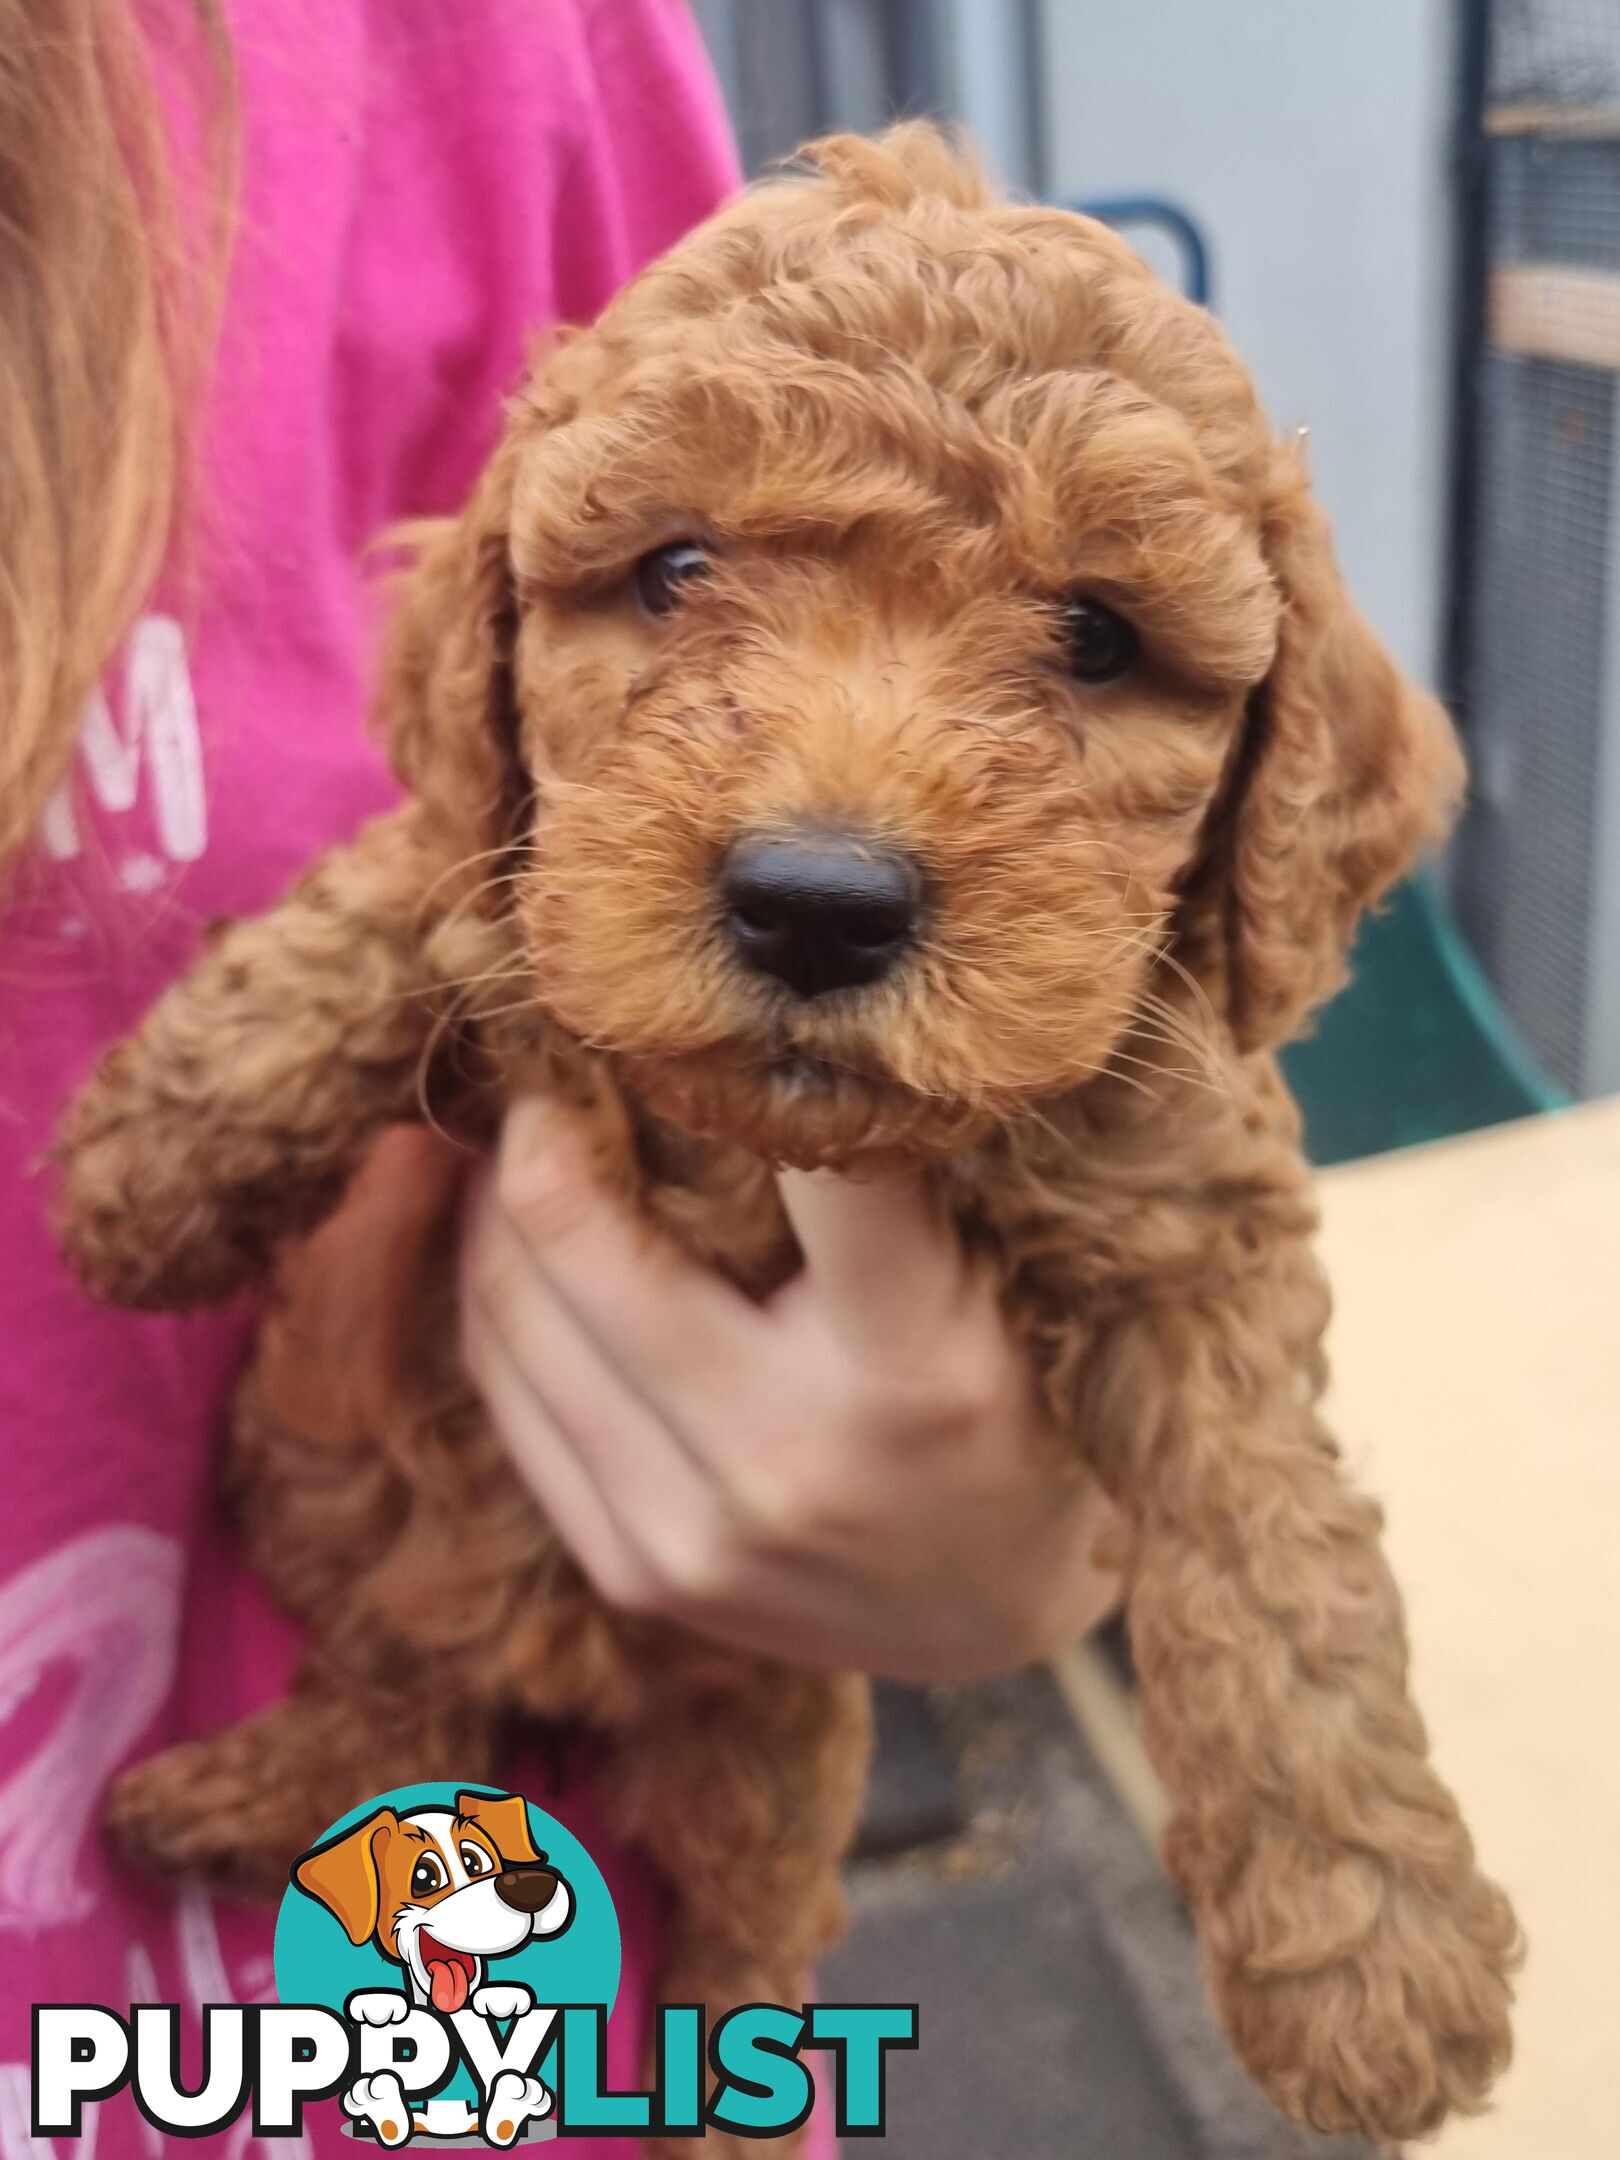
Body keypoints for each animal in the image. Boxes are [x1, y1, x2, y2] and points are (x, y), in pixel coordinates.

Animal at [54, 130, 1520, 2142]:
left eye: (1098, 636)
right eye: (674, 568)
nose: (820, 905)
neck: (783, 1149)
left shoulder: (1188, 1209)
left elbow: (1277, 1558)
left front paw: (1371, 1951)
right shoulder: (534, 870)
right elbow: (404, 887)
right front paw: (149, 1164)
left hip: (772, 1731)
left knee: (726, 1913)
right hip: (356, 1494)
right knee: (394, 1702)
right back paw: (215, 1798)